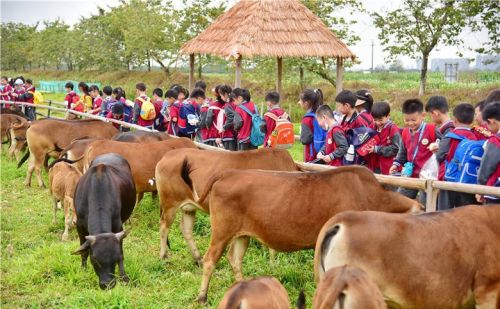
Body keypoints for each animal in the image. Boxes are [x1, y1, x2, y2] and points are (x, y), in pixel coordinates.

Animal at [71, 153, 136, 288]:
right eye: (94, 258)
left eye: (115, 257)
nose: (107, 284)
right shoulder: (79, 226)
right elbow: (83, 251)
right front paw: (83, 269)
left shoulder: (118, 227)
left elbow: (122, 253)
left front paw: (124, 277)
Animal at [154, 147, 298, 262]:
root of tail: (167, 155)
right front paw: (273, 263)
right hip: (170, 203)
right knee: (164, 226)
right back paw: (164, 256)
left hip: (188, 207)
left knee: (186, 229)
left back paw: (198, 258)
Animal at [193, 165, 420, 302]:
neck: (372, 197)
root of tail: (229, 173)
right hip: (222, 231)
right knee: (210, 259)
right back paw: (202, 296)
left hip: (242, 234)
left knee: (235, 258)